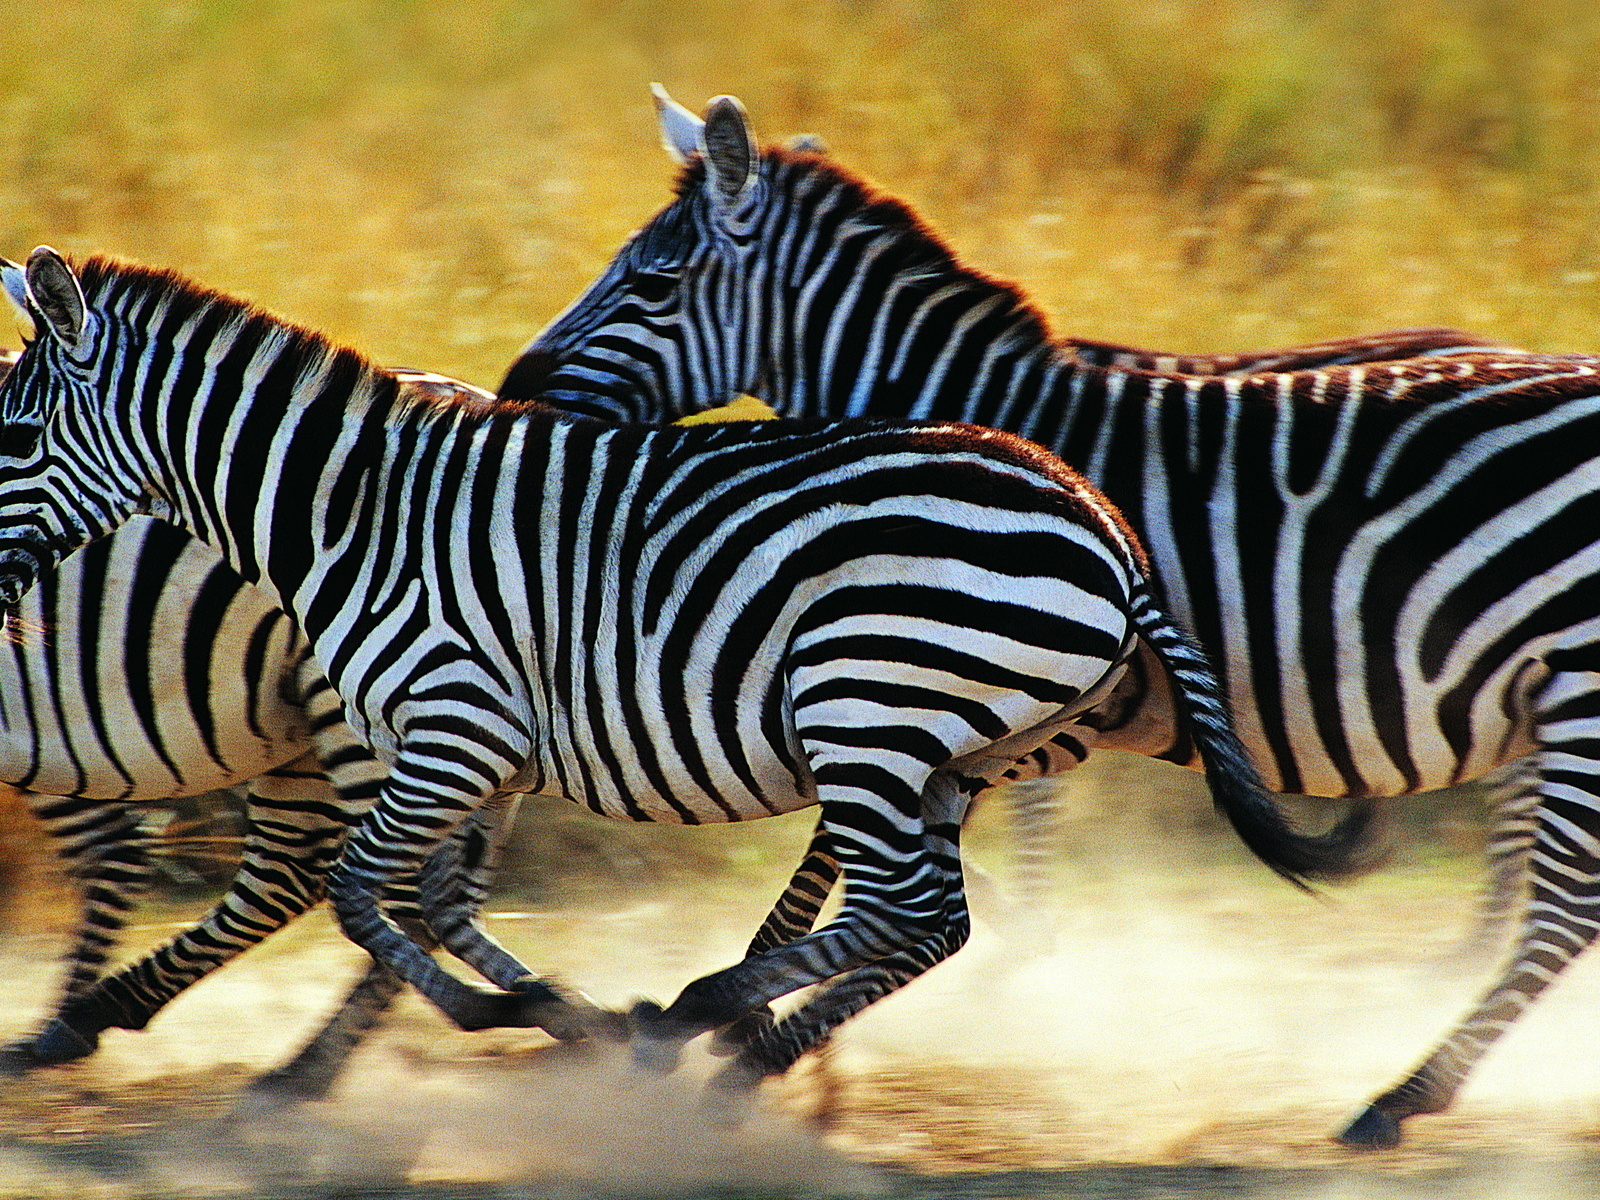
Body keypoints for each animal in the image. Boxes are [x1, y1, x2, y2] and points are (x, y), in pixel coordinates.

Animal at [0, 247, 1373, 1100]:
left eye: (9, 433)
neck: (350, 515)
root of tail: (1103, 520)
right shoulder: (478, 750)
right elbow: (429, 901)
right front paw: (559, 1014)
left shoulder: (453, 720)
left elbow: (355, 893)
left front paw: (513, 1018)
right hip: (948, 745)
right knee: (922, 919)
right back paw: (718, 1032)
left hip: (869, 707)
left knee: (913, 911)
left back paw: (712, 1012)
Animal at [505, 88, 1600, 1147]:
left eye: (653, 281)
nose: (515, 390)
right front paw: (772, 1023)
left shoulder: (923, 681)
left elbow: (847, 866)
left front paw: (746, 1024)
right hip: (1533, 688)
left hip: (1576, 675)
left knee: (1564, 906)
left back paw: (1404, 1092)